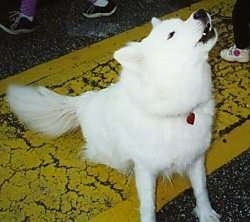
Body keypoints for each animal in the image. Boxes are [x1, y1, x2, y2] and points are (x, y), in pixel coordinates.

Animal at [6, 9, 220, 222]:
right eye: (171, 34)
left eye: (181, 21)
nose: (200, 12)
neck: (178, 110)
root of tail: (82, 103)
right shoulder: (146, 170)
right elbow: (148, 206)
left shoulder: (196, 158)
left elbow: (201, 189)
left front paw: (206, 213)